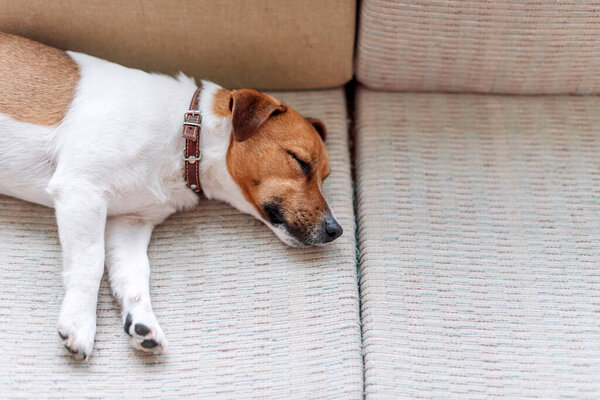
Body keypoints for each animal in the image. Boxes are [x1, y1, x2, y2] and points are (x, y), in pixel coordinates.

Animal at [0, 32, 342, 360]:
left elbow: (134, 275)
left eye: (325, 178)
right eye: (300, 161)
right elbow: (90, 264)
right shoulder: (81, 190)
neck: (187, 138)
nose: (335, 230)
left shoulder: (129, 222)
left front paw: (142, 323)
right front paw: (79, 325)